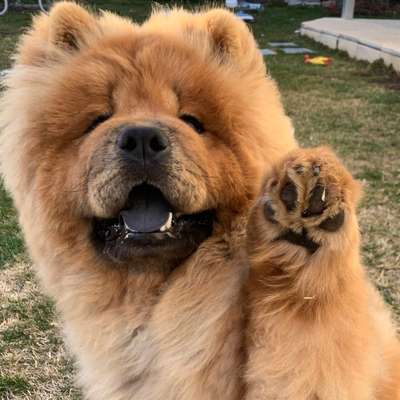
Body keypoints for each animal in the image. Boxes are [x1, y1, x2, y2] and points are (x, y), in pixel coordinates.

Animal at [0, 1, 398, 398]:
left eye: (192, 122)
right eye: (98, 120)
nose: (141, 139)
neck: (161, 303)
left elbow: (309, 326)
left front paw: (305, 229)